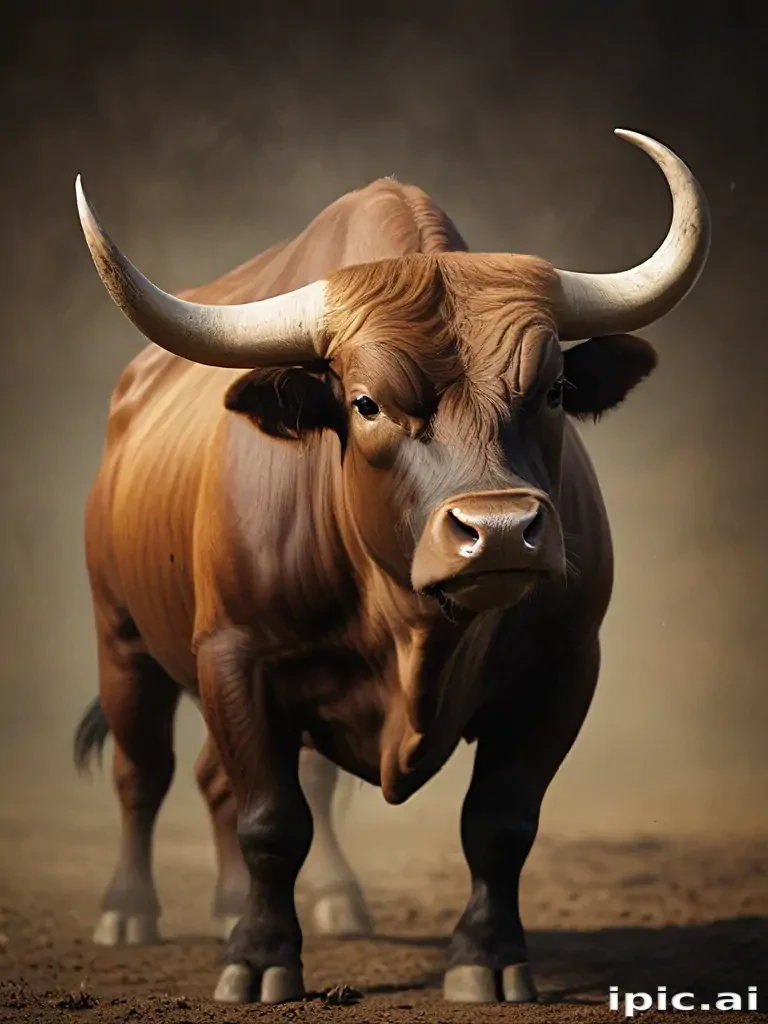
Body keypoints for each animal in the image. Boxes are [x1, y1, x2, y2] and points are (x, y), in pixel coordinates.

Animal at [72, 129, 710, 1006]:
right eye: (367, 403)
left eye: (552, 391)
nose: (500, 532)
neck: (416, 632)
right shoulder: (237, 657)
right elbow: (271, 819)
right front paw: (259, 959)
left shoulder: (564, 667)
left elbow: (500, 821)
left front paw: (487, 958)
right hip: (124, 638)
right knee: (147, 772)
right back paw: (129, 911)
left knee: (237, 780)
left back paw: (281, 900)